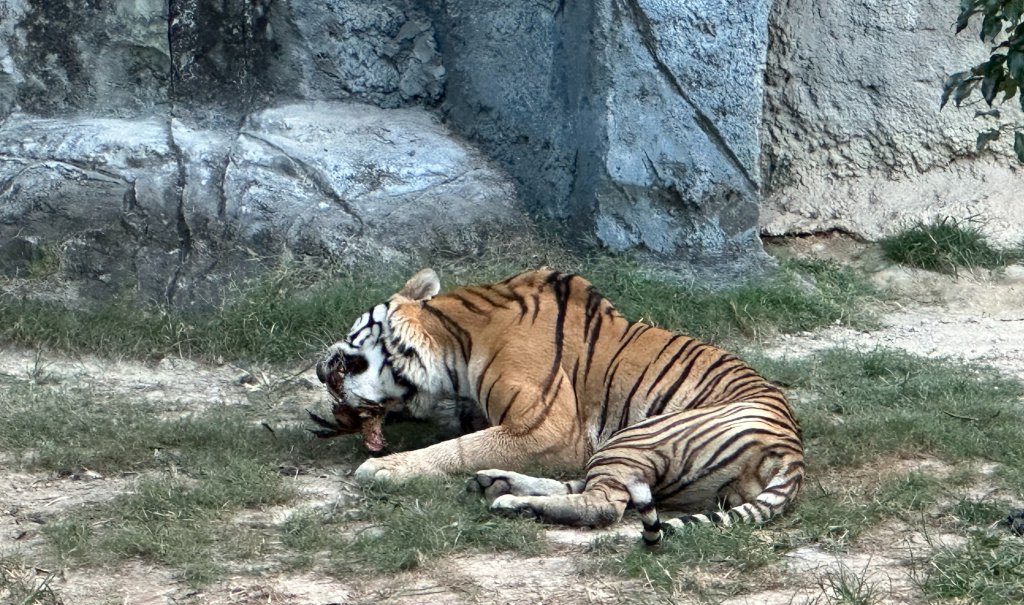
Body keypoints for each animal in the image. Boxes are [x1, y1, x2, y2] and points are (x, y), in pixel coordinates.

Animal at [315, 268, 804, 544]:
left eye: (352, 333)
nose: (321, 371)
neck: (455, 343)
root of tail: (793, 453)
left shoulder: (547, 426)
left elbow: (462, 446)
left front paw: (385, 467)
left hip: (637, 434)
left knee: (606, 504)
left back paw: (513, 503)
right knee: (590, 487)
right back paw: (498, 485)